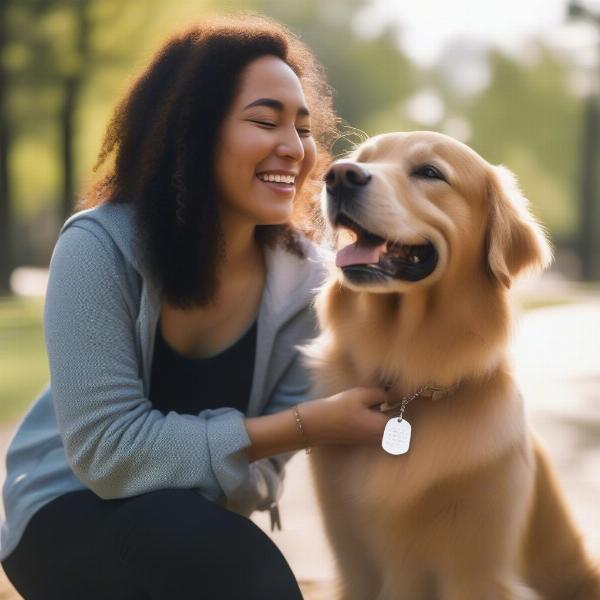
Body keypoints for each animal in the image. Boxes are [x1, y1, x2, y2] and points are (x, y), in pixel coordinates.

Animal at [308, 132, 600, 600]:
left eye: (430, 172)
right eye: (361, 159)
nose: (338, 176)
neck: (410, 381)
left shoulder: (477, 571)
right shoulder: (353, 566)